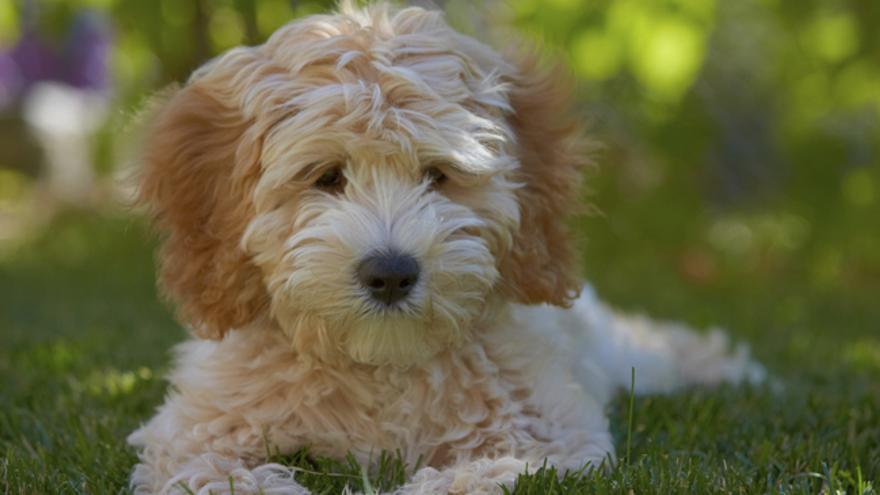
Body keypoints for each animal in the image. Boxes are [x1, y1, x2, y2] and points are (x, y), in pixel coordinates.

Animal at [129, 1, 764, 494]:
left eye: (437, 175)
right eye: (327, 177)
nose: (390, 273)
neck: (380, 366)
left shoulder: (552, 432)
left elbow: (488, 472)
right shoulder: (196, 428)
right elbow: (209, 469)